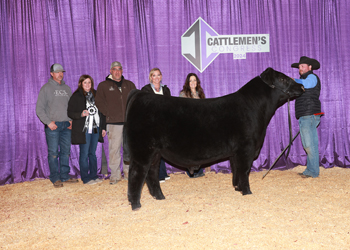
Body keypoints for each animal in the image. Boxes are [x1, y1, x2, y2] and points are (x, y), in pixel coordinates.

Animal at [123, 67, 304, 210]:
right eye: (282, 79)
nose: (302, 86)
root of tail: (140, 94)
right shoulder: (246, 148)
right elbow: (245, 170)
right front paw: (247, 192)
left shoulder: (235, 152)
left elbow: (236, 170)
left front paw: (238, 188)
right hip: (142, 151)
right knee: (136, 174)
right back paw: (135, 204)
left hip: (155, 153)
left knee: (151, 173)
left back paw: (159, 197)